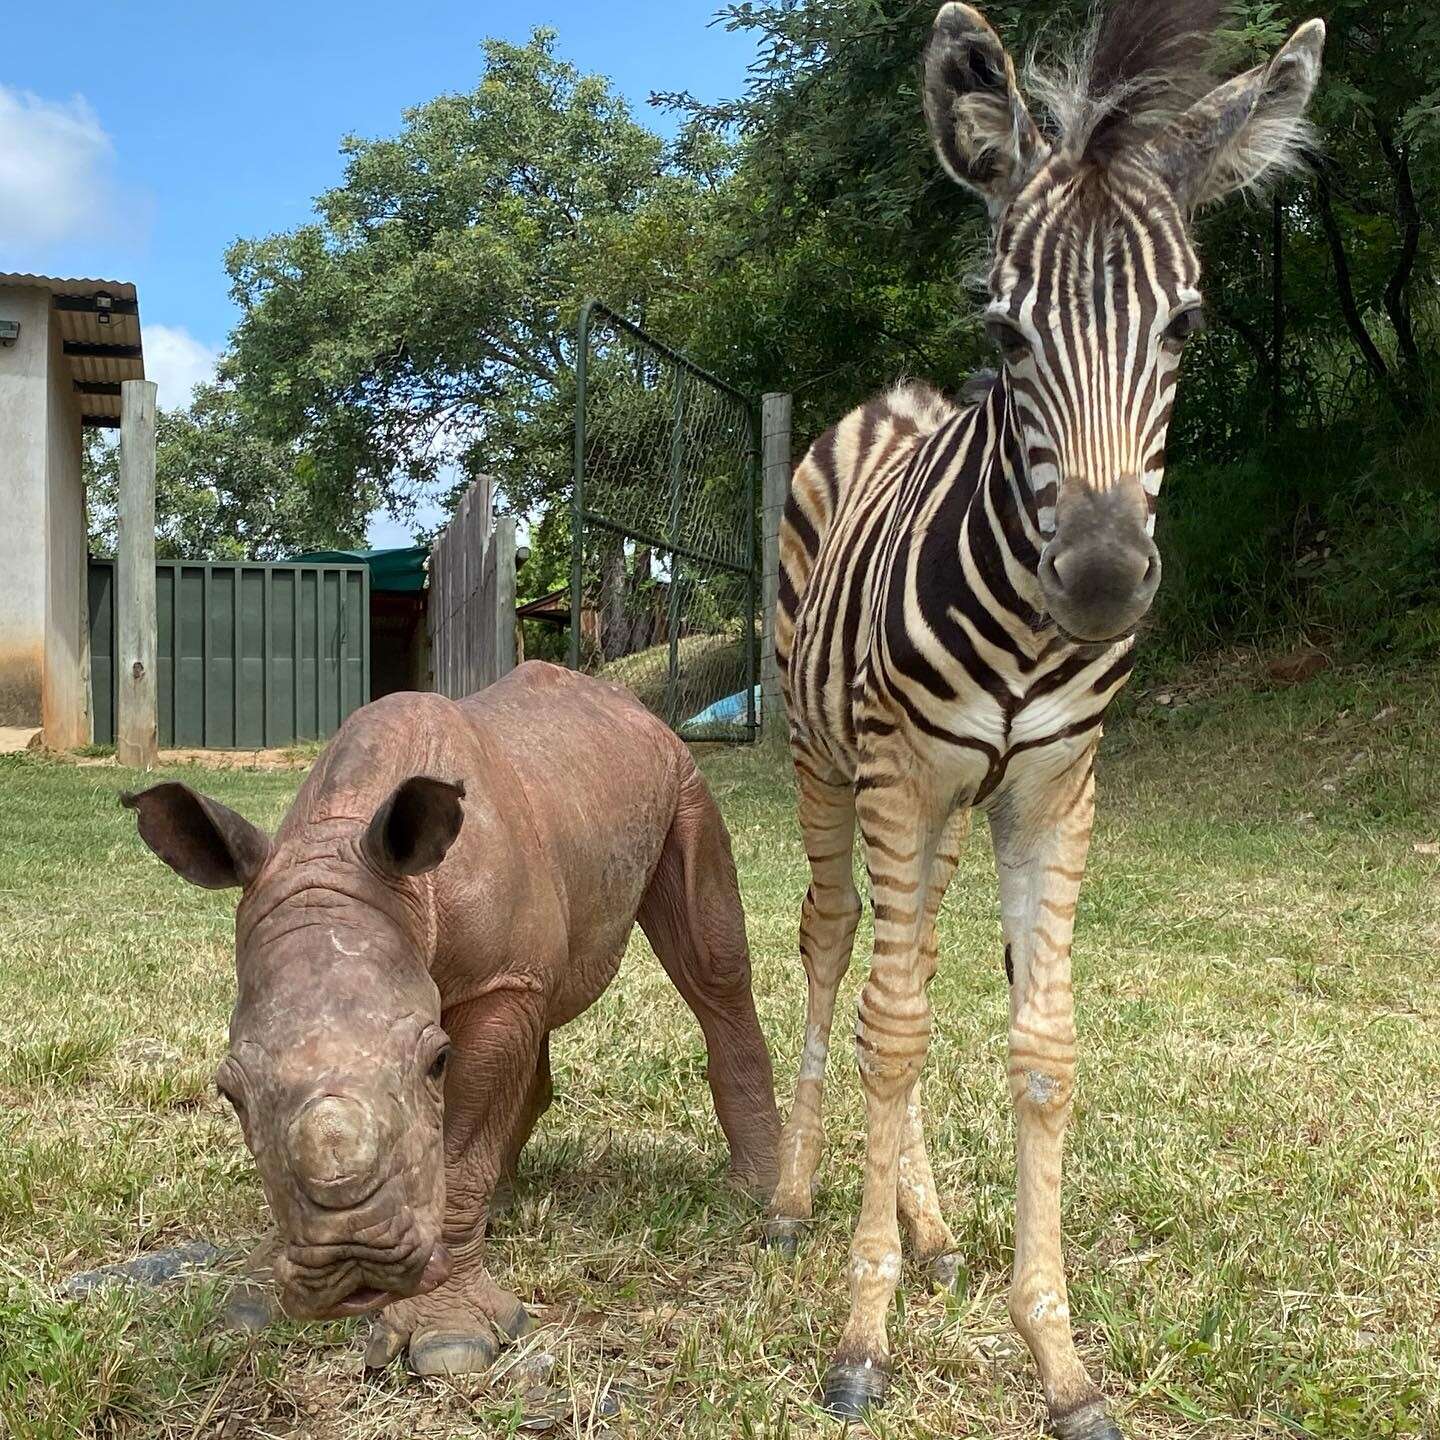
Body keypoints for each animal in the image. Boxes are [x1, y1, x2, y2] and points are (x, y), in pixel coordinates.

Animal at [122, 659, 777, 1370]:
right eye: (228, 1092)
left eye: (436, 1062)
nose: (355, 1264)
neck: (342, 845)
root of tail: (628, 704)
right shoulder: (496, 973)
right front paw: (255, 1303)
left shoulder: (499, 980)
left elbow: (462, 1141)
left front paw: (451, 1340)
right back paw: (506, 1206)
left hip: (683, 777)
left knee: (712, 969)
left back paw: (756, 1197)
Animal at [766, 5, 1324, 1434]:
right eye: (1009, 333)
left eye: (1186, 327)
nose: (1106, 580)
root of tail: (892, 396)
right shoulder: (901, 777)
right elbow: (896, 1031)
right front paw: (862, 1340)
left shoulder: (1053, 787)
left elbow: (1043, 1048)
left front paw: (1056, 1354)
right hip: (827, 766)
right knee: (840, 951)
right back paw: (794, 1201)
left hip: (943, 810)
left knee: (898, 969)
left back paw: (931, 1231)